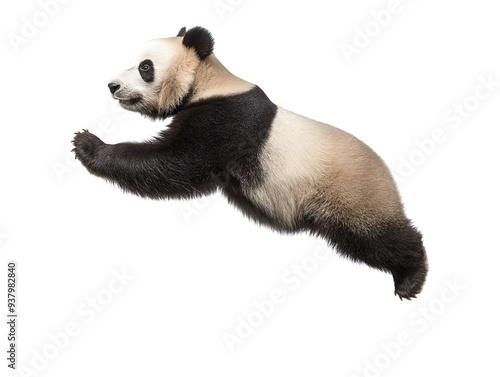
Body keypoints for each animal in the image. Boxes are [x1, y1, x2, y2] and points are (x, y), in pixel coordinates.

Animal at [72, 25, 428, 298]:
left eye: (145, 67)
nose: (112, 86)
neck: (209, 81)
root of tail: (388, 175)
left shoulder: (227, 120)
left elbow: (177, 163)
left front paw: (88, 144)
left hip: (350, 192)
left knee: (377, 237)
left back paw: (410, 279)